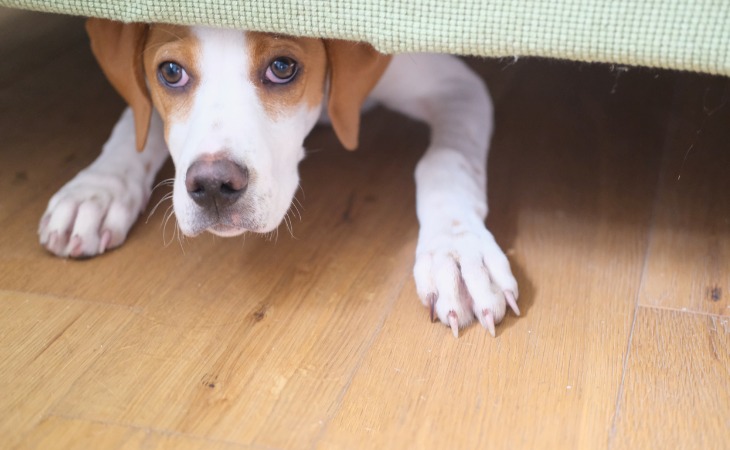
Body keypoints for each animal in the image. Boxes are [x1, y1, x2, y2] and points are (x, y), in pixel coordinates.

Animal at [38, 20, 516, 338]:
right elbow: (136, 122)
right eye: (171, 73)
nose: (213, 187)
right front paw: (97, 189)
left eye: (283, 67)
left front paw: (457, 250)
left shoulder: (456, 86)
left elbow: (445, 161)